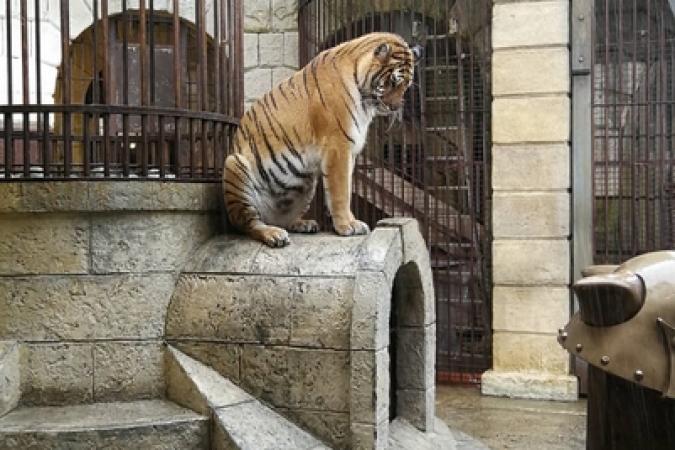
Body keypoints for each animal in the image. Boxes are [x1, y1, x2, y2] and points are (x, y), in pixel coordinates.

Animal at [224, 32, 420, 248]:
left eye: (405, 85)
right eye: (392, 82)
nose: (395, 108)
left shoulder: (350, 152)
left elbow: (347, 188)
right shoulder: (338, 146)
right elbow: (340, 191)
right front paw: (347, 225)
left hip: (306, 183)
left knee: (282, 218)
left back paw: (303, 224)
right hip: (234, 164)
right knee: (245, 222)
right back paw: (273, 234)